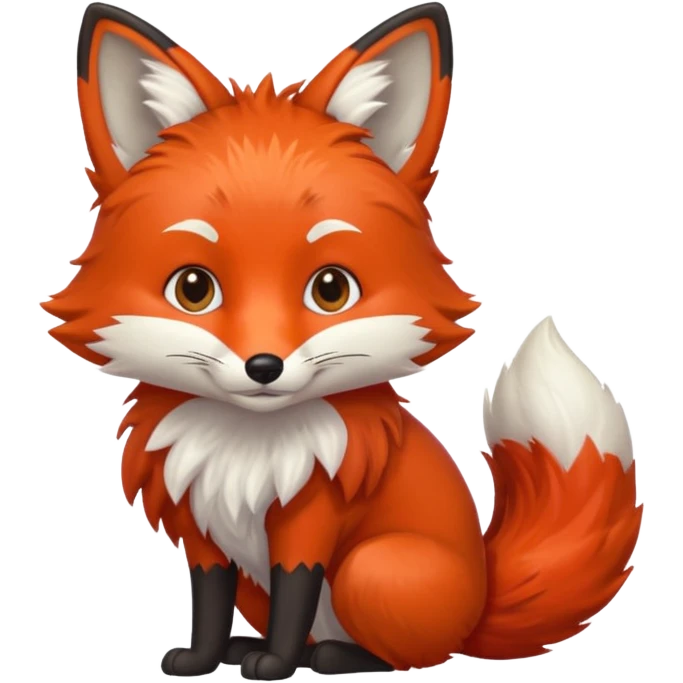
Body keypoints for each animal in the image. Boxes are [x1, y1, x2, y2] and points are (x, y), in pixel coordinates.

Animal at [45, 1, 643, 679]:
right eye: (193, 288)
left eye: (330, 289)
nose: (264, 365)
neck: (247, 449)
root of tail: (483, 600)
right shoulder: (201, 528)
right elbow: (208, 602)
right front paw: (202, 659)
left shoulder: (309, 518)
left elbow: (295, 594)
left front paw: (276, 663)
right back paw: (254, 647)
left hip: (373, 568)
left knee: (410, 653)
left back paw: (333, 655)